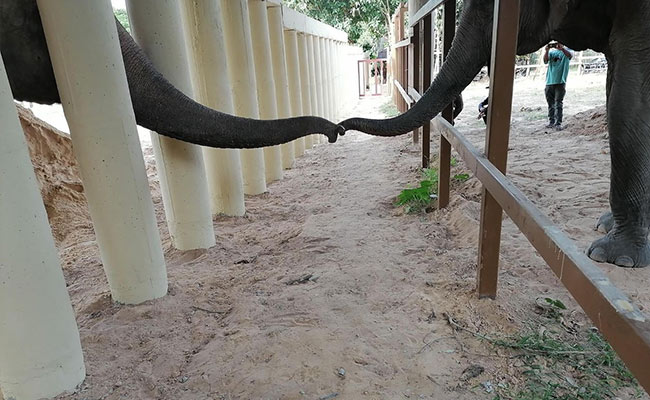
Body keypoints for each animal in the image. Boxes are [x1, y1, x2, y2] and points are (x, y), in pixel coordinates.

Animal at [341, 0, 650, 268]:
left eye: (488, 9)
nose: (338, 128)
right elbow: (616, 92)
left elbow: (629, 100)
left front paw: (612, 258)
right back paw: (605, 223)